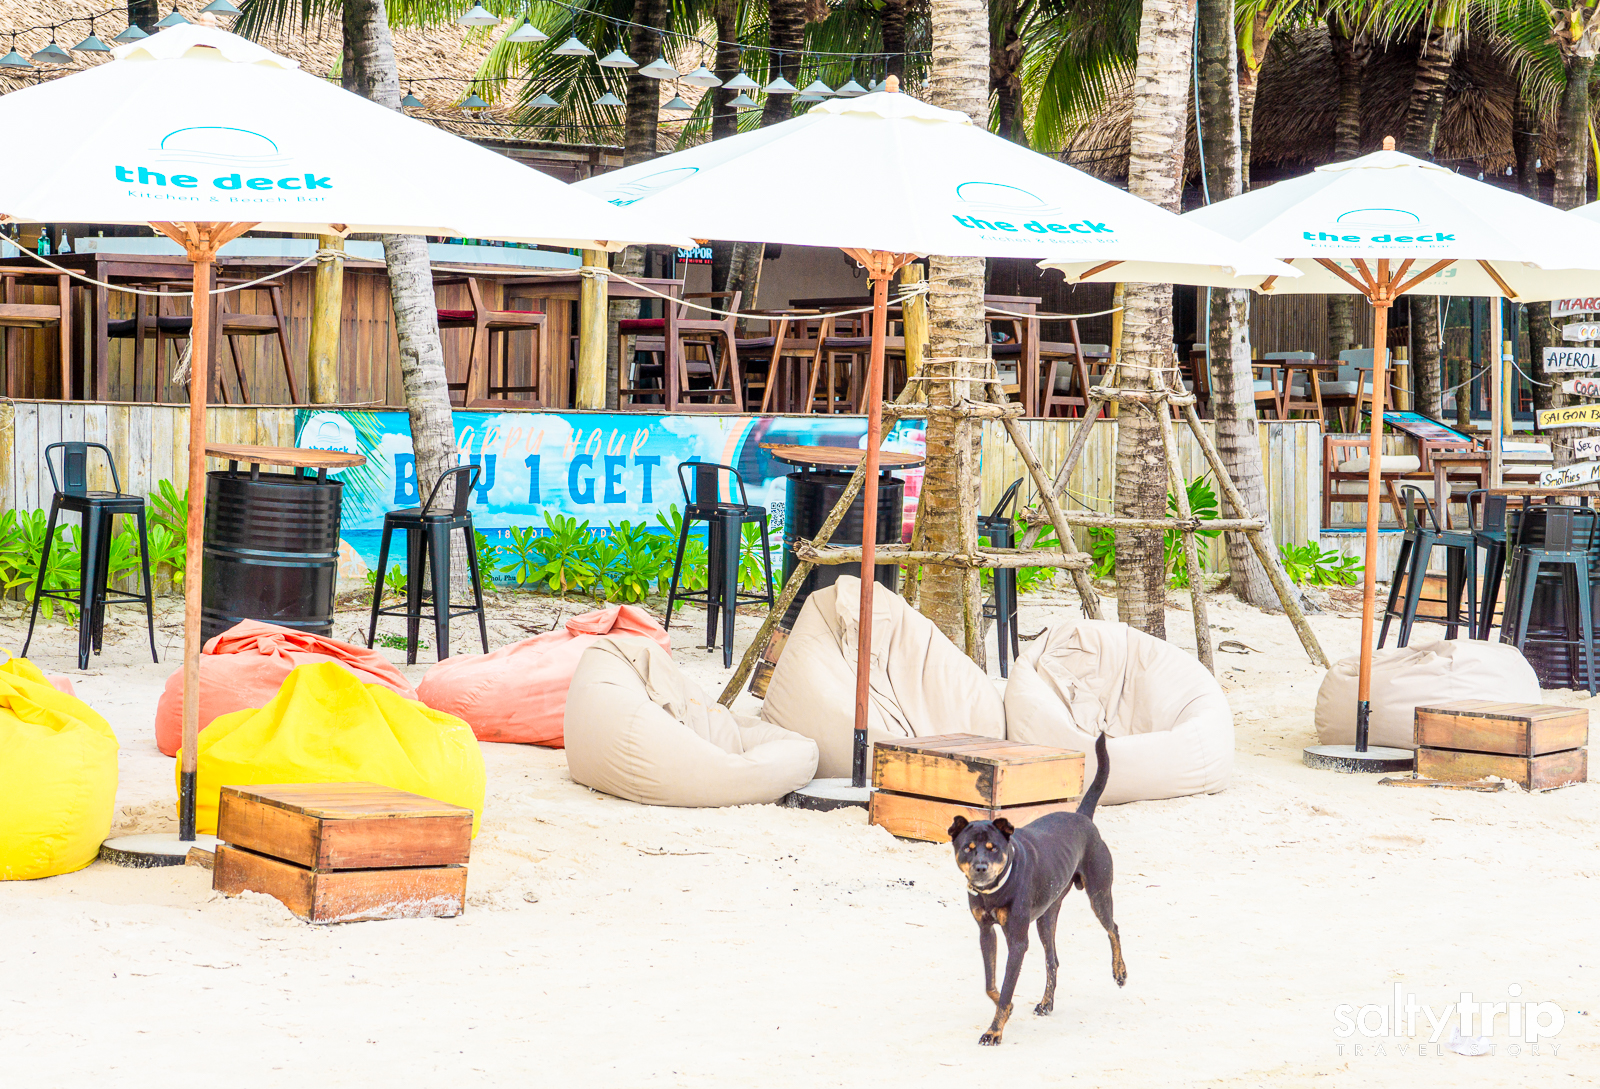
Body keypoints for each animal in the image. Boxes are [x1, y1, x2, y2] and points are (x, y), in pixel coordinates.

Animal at [948, 732, 1124, 1045]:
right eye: (967, 848)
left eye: (993, 848)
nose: (980, 867)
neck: (997, 889)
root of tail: (1083, 816)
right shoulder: (986, 932)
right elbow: (991, 983)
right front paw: (1006, 1010)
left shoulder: (1018, 941)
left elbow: (1007, 987)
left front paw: (994, 1030)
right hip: (1046, 917)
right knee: (1052, 960)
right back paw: (1046, 1003)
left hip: (1099, 894)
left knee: (1113, 928)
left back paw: (1119, 972)